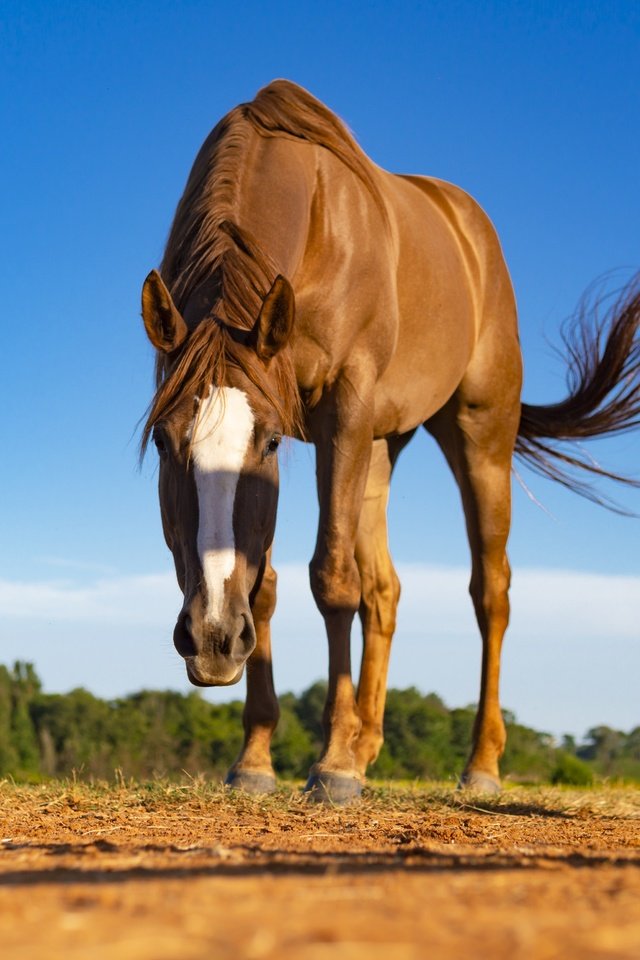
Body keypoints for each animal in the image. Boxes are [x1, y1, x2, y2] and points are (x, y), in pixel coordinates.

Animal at [141, 79, 640, 800]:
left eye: (267, 443)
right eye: (162, 441)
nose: (211, 639)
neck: (314, 222)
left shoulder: (341, 413)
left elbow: (331, 579)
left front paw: (331, 766)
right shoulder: (332, 435)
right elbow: (268, 585)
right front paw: (258, 758)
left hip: (477, 433)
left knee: (489, 592)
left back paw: (479, 764)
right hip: (381, 446)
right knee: (386, 590)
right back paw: (366, 743)